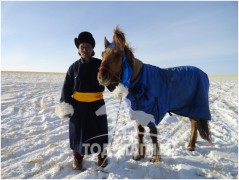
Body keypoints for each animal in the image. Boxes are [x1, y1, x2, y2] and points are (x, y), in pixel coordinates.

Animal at [97, 26, 211, 162]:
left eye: (117, 55)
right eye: (102, 54)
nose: (101, 77)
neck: (140, 80)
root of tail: (203, 73)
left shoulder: (152, 112)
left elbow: (152, 134)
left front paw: (155, 157)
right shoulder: (138, 111)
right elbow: (140, 132)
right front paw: (139, 154)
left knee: (194, 123)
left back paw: (191, 145)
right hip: (189, 107)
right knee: (194, 123)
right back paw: (191, 144)